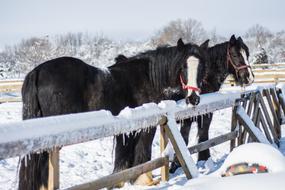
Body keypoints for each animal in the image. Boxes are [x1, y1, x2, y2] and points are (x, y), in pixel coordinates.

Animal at [170, 35, 254, 173]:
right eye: (235, 55)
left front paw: (203, 160)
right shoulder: (188, 118)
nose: (249, 78)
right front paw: (176, 166)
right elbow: (187, 138)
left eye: (247, 54)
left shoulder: (204, 115)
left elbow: (203, 137)